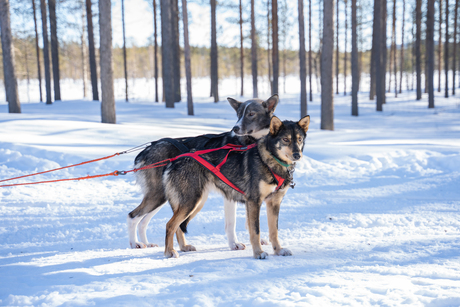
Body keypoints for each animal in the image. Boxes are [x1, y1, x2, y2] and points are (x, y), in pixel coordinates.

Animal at [127, 95, 278, 251]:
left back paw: (154, 243)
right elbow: (232, 223)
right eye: (238, 114)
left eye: (251, 114)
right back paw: (135, 243)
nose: (235, 128)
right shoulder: (231, 194)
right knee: (133, 216)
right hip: (163, 195)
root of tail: (147, 149)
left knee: (146, 221)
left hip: (173, 198)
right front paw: (234, 244)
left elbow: (249, 222)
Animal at [161, 115, 310, 260]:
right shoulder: (254, 202)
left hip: (196, 204)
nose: (297, 155)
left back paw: (183, 247)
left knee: (178, 227)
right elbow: (256, 231)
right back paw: (169, 252)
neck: (270, 160)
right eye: (285, 139)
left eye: (299, 139)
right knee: (170, 225)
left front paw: (278, 250)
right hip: (191, 202)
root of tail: (174, 161)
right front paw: (258, 253)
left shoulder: (274, 203)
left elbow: (274, 231)